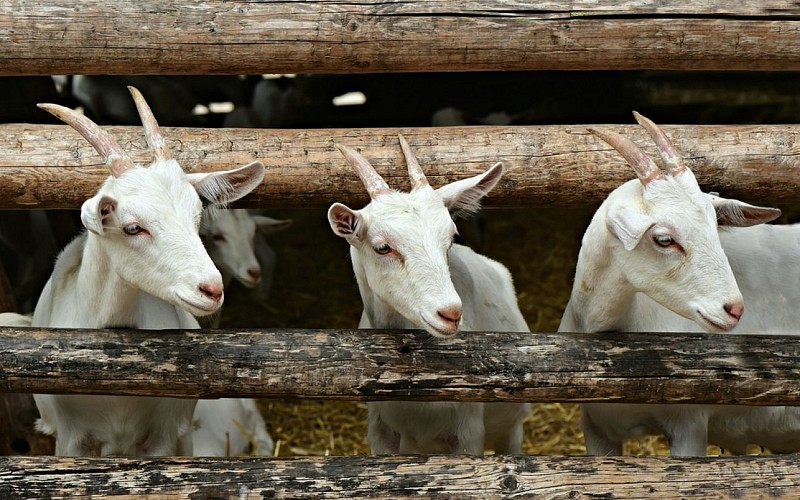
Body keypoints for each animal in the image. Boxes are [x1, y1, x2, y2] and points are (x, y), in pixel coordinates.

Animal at [328, 136, 530, 455]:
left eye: (452, 237)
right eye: (382, 247)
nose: (450, 313)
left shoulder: (469, 432)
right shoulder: (380, 430)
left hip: (512, 426)